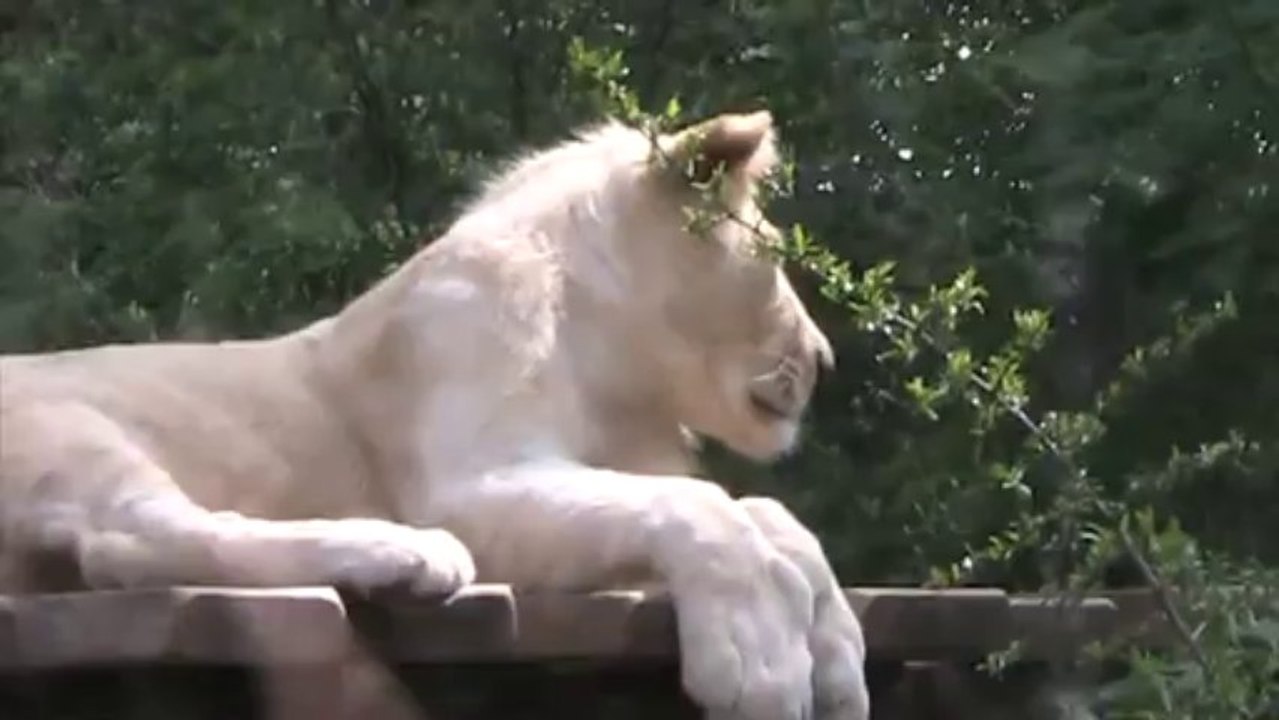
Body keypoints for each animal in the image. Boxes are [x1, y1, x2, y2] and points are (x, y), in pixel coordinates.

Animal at [0, 110, 869, 720]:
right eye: (774, 257)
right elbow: (705, 506)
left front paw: (836, 659)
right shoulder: (465, 484)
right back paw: (401, 553)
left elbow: (770, 517)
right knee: (134, 540)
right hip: (72, 430)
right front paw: (761, 666)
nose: (826, 358)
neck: (615, 370)